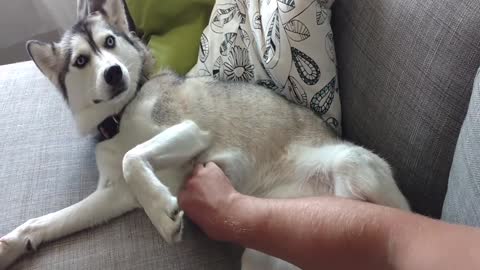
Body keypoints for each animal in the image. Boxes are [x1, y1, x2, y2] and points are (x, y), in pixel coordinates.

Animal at [0, 0, 410, 270]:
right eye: (81, 61)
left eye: (110, 43)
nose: (114, 73)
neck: (118, 115)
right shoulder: (113, 194)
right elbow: (51, 220)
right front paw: (13, 244)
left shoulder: (189, 129)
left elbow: (134, 156)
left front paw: (162, 215)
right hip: (264, 253)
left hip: (355, 168)